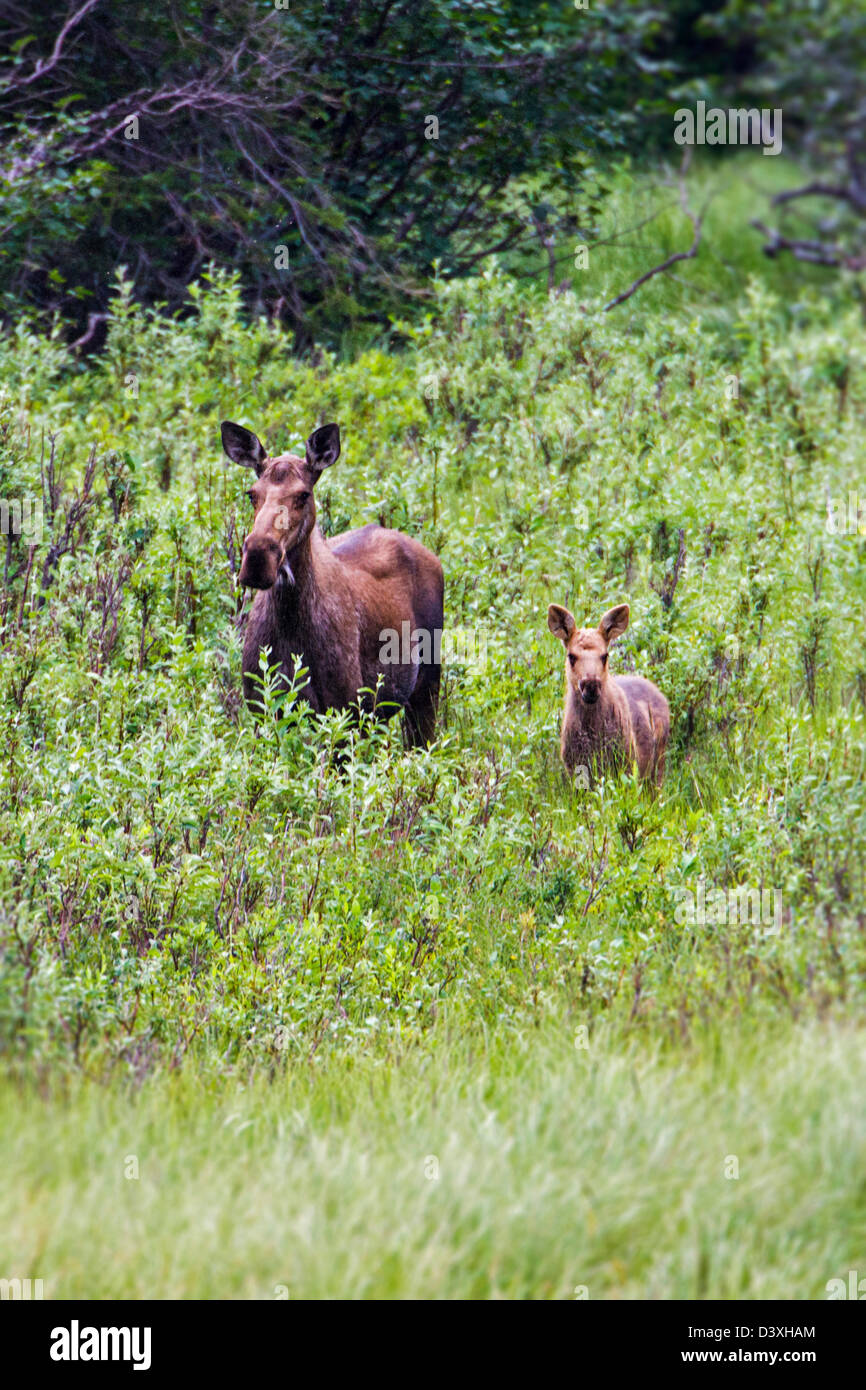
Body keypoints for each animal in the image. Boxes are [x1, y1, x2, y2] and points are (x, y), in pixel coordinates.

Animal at [219, 419, 444, 750]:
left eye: (303, 495)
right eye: (251, 493)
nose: (258, 558)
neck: (290, 624)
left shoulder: (343, 713)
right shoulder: (264, 711)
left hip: (425, 686)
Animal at [547, 603, 670, 789]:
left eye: (604, 655)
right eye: (571, 656)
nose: (591, 685)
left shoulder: (626, 765)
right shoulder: (574, 769)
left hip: (657, 766)